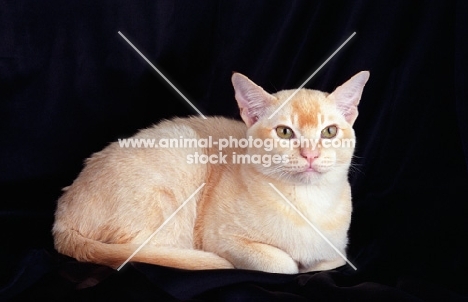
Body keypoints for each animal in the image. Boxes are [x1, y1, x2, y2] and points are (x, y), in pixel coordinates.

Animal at [52, 71, 370, 274]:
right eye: (284, 132)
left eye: (329, 132)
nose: (310, 154)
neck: (307, 204)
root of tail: (61, 216)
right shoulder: (225, 240)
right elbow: (286, 265)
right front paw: (294, 264)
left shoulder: (338, 251)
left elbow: (331, 260)